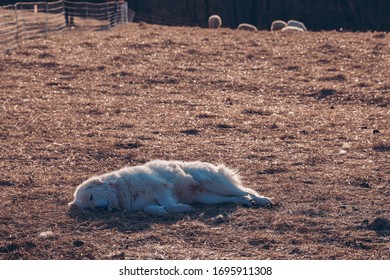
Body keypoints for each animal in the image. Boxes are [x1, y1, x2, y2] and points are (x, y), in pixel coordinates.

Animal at [69, 160, 272, 214]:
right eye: (91, 208)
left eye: (92, 198)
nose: (102, 209)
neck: (122, 188)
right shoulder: (143, 204)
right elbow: (150, 208)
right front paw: (163, 211)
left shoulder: (160, 186)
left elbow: (168, 202)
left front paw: (179, 209)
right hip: (208, 198)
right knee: (233, 198)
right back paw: (244, 201)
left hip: (217, 184)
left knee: (247, 190)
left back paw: (261, 200)